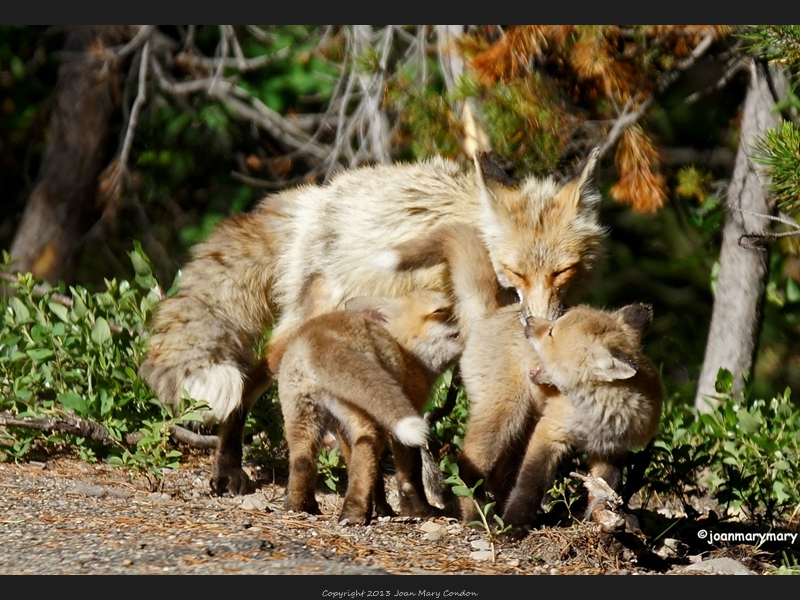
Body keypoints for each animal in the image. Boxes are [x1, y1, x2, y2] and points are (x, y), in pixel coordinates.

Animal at [144, 149, 604, 492]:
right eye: (517, 272)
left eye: (562, 272)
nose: (538, 323)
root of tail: (318, 196)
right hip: (311, 324)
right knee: (251, 380)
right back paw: (228, 466)